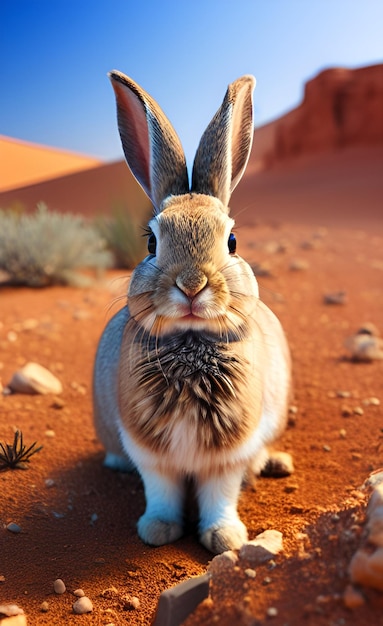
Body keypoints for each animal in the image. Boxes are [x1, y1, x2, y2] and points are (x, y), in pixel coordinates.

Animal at [94, 70, 292, 552]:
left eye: (233, 241)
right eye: (151, 242)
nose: (191, 285)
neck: (190, 342)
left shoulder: (229, 455)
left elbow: (220, 494)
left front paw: (225, 538)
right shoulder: (151, 454)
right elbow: (160, 491)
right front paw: (157, 531)